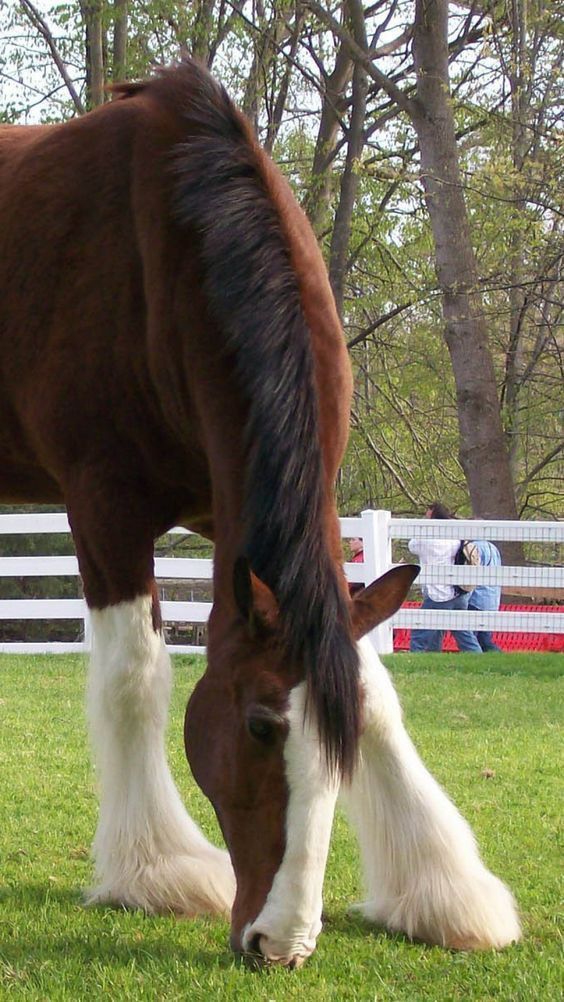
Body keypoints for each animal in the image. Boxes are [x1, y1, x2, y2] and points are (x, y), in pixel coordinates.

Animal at [0, 58, 520, 965]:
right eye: (259, 729)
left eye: (340, 748)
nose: (280, 943)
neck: (163, 255)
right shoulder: (105, 511)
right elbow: (135, 679)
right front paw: (158, 871)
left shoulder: (250, 528)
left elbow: (373, 684)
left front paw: (444, 891)